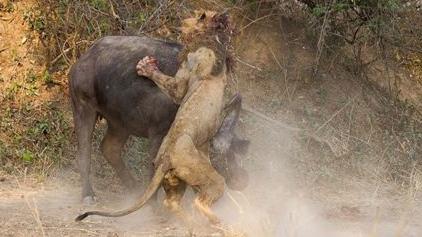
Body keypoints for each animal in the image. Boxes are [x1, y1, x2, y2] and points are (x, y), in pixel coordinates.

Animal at [76, 46, 234, 226]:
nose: (190, 54)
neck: (204, 74)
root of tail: (165, 158)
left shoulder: (181, 87)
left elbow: (175, 88)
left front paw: (146, 67)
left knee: (170, 200)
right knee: (200, 200)